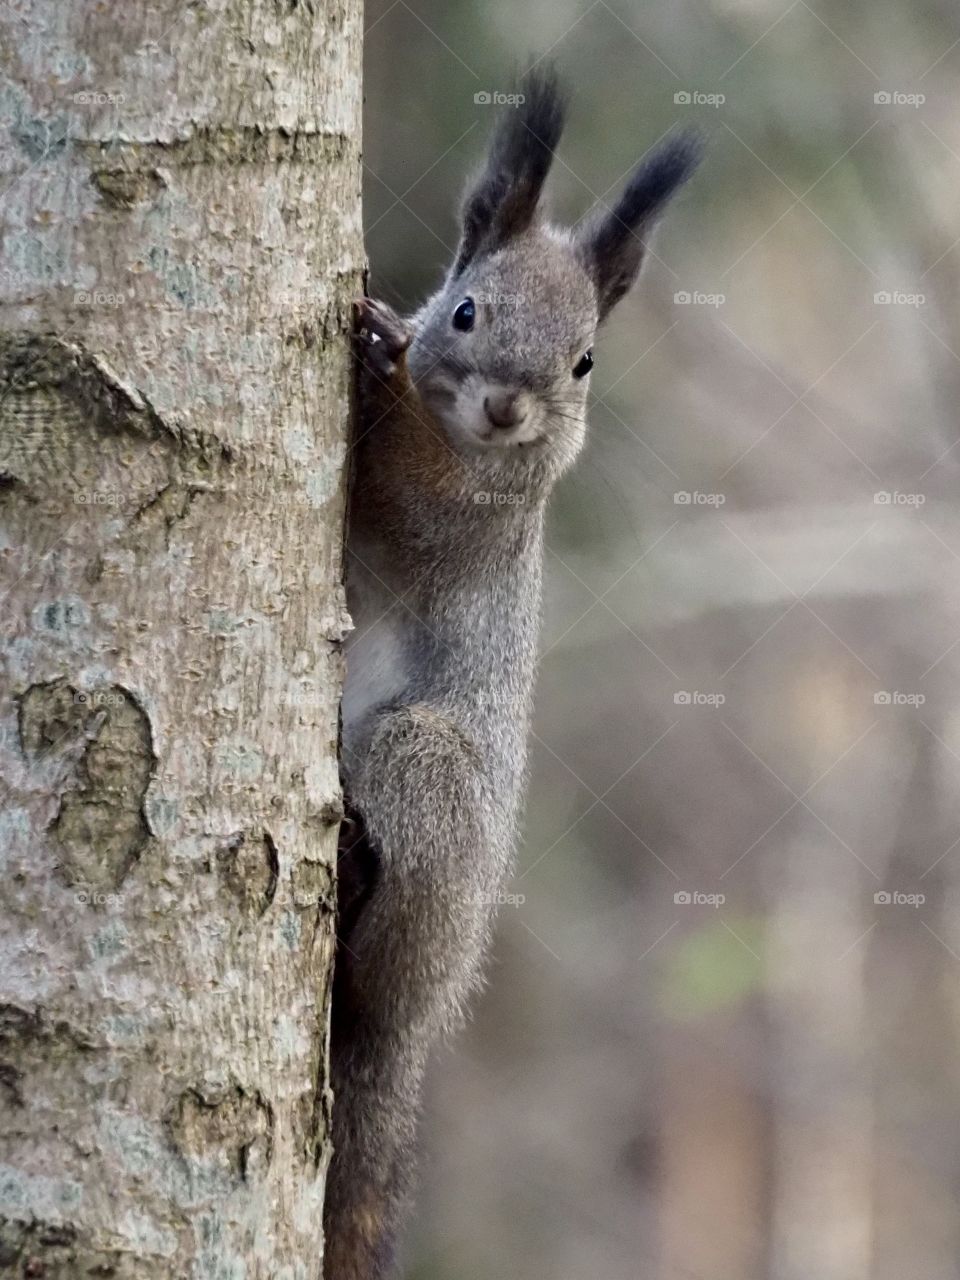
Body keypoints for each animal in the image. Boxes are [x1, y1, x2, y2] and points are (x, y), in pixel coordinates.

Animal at [324, 66, 698, 1280]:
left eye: (584, 360)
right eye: (468, 310)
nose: (505, 405)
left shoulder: (464, 519)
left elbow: (406, 485)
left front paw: (378, 357)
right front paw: (386, 339)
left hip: (427, 771)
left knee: (373, 979)